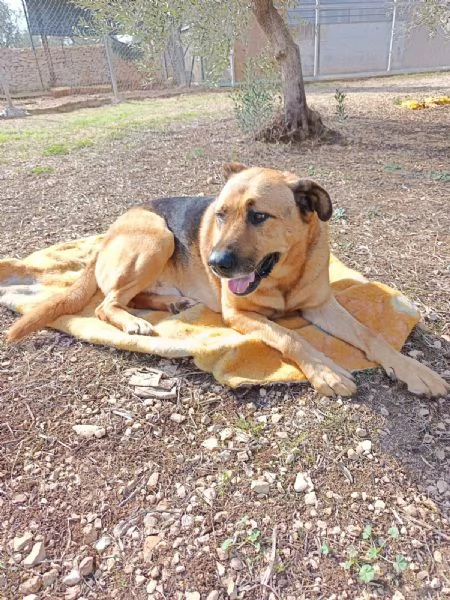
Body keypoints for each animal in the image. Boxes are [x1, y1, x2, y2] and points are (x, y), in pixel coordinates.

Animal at [5, 164, 448, 398]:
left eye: (259, 216)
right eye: (220, 214)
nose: (215, 263)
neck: (284, 276)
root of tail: (110, 231)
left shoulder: (322, 306)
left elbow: (371, 335)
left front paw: (413, 370)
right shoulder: (240, 316)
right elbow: (291, 337)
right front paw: (324, 370)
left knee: (130, 297)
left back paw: (171, 304)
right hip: (158, 237)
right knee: (105, 303)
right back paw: (134, 322)